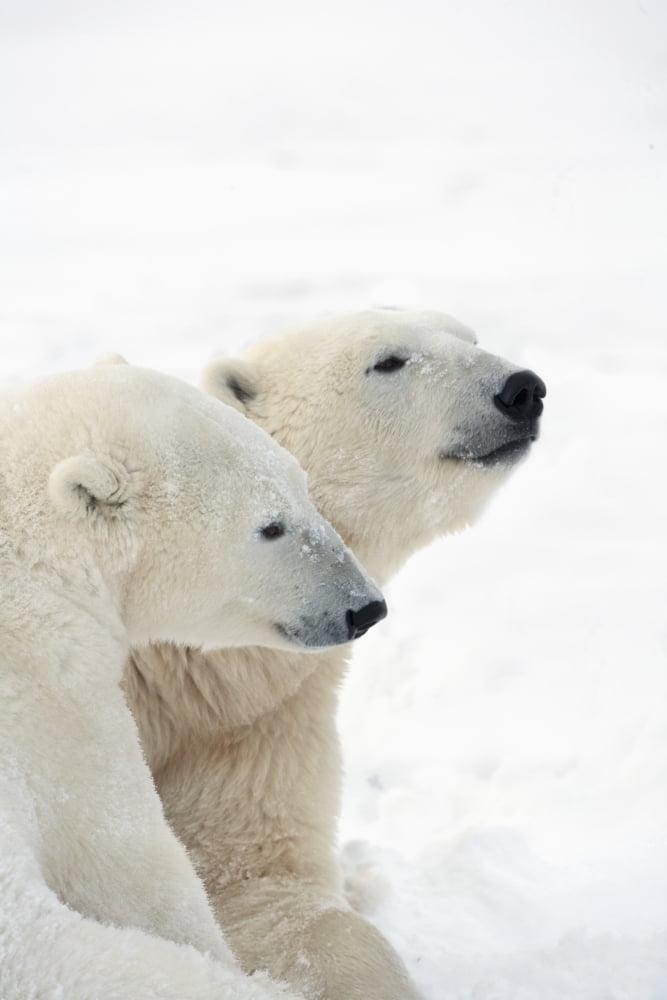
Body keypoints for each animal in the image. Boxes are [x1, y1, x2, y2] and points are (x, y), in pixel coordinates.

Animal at [0, 360, 386, 1000]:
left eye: (304, 484)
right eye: (270, 526)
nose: (366, 606)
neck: (31, 560)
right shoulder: (53, 705)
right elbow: (133, 863)